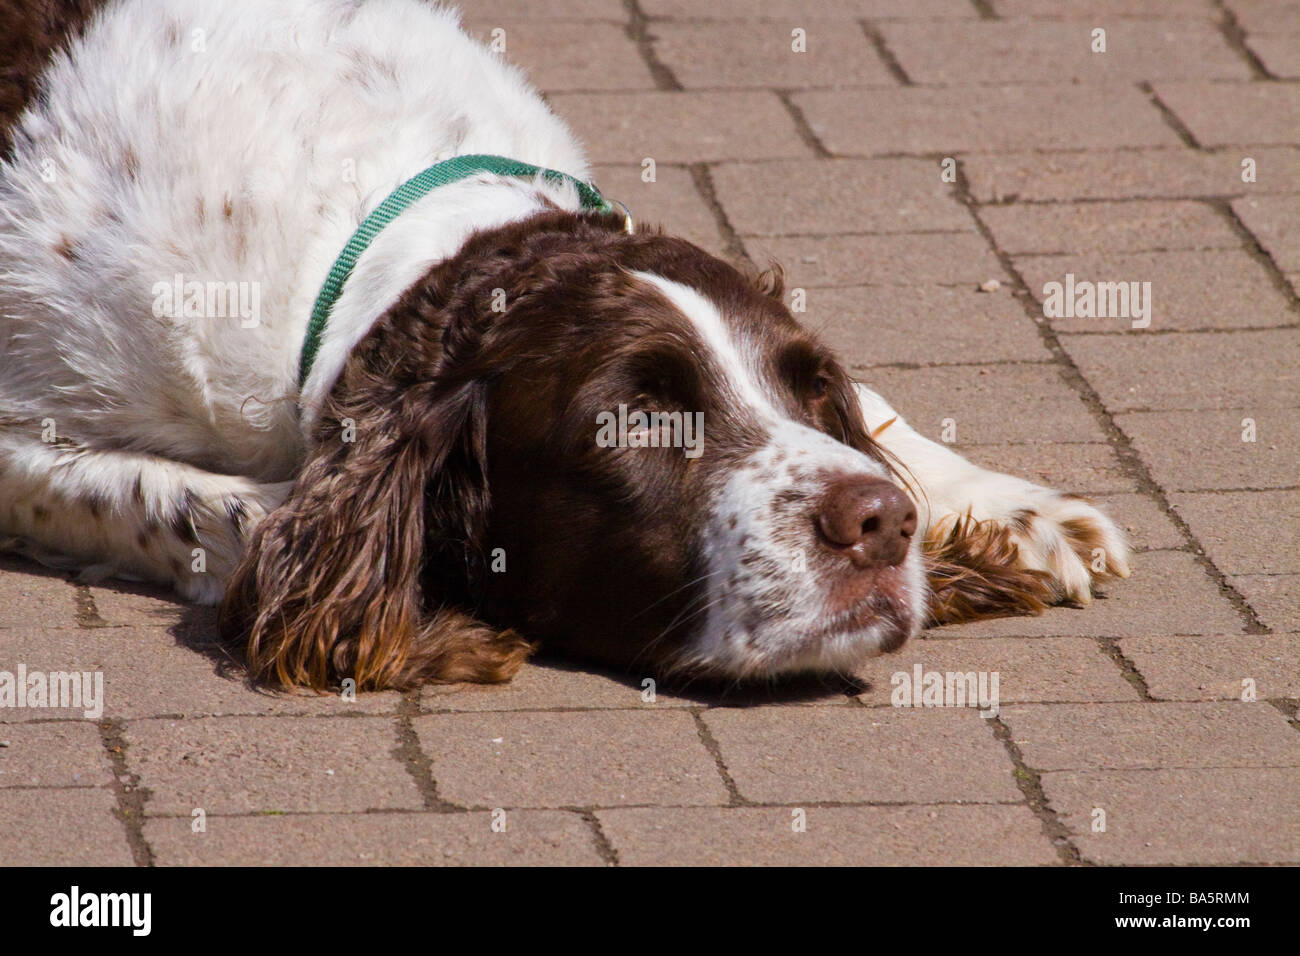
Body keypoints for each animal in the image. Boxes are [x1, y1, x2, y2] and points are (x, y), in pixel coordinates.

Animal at [0, 0, 1128, 686]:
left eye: (811, 388)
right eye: (637, 421)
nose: (879, 525)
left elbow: (886, 422)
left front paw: (1012, 513)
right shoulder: (20, 435)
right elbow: (209, 508)